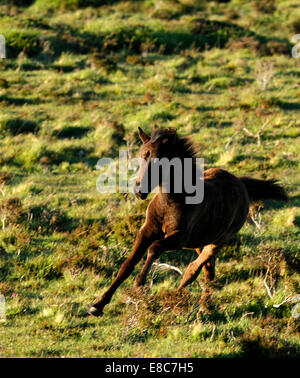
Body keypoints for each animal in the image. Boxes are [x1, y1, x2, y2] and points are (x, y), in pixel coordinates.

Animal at [88, 127, 288, 316]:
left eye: (158, 160)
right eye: (141, 156)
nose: (139, 191)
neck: (172, 201)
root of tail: (241, 184)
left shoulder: (178, 238)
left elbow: (155, 248)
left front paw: (139, 284)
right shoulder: (147, 230)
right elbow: (127, 264)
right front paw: (97, 306)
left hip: (218, 241)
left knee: (193, 269)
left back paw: (180, 299)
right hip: (199, 242)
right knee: (209, 271)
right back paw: (203, 305)